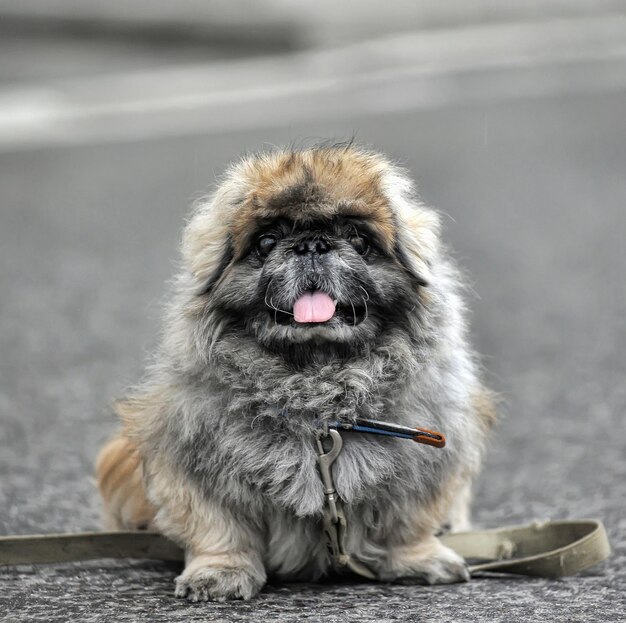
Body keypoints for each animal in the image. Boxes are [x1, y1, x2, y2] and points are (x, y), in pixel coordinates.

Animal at [95, 144, 494, 604]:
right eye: (267, 242)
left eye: (358, 238)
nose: (311, 245)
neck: (317, 390)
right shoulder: (193, 463)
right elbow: (219, 529)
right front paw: (219, 573)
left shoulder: (425, 465)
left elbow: (408, 523)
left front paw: (418, 559)